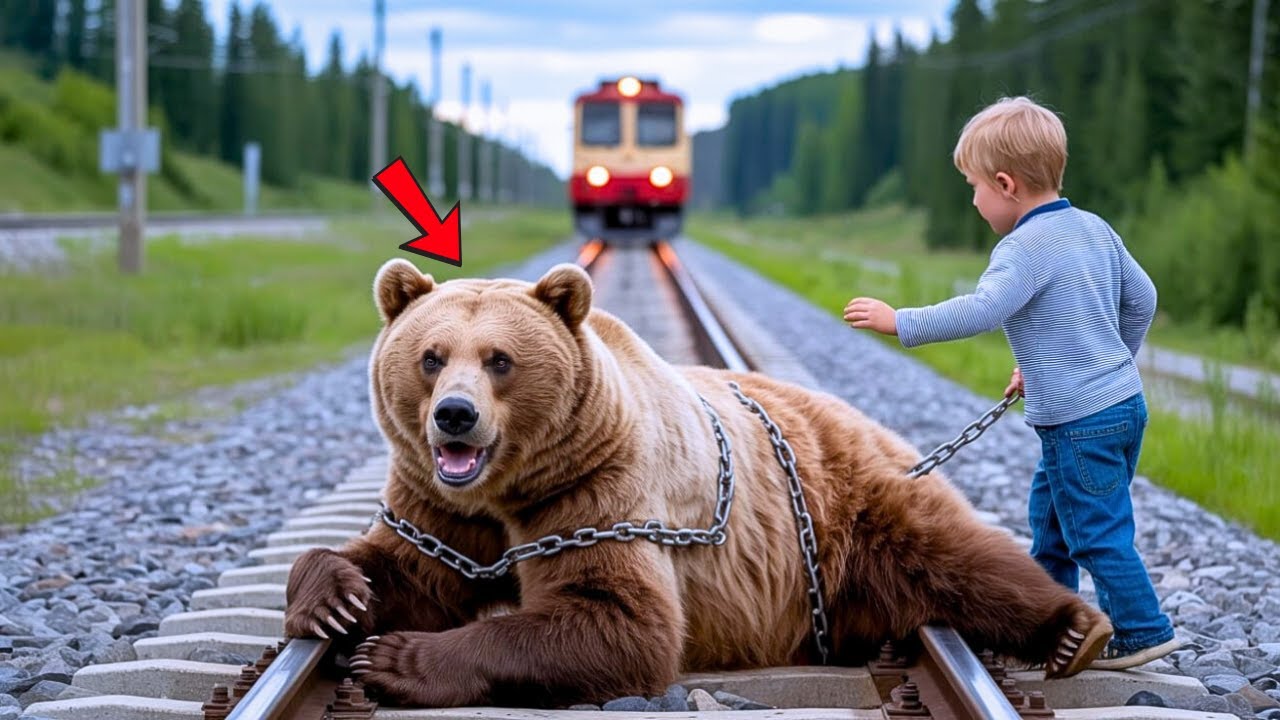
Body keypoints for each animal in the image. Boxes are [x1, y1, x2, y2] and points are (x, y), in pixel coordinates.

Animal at [282, 258, 1113, 708]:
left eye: (499, 360)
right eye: (430, 356)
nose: (455, 417)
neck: (509, 488)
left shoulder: (598, 488)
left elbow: (621, 619)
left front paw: (393, 659)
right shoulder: (442, 505)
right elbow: (409, 563)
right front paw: (334, 600)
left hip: (852, 501)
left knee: (958, 557)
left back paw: (1076, 628)